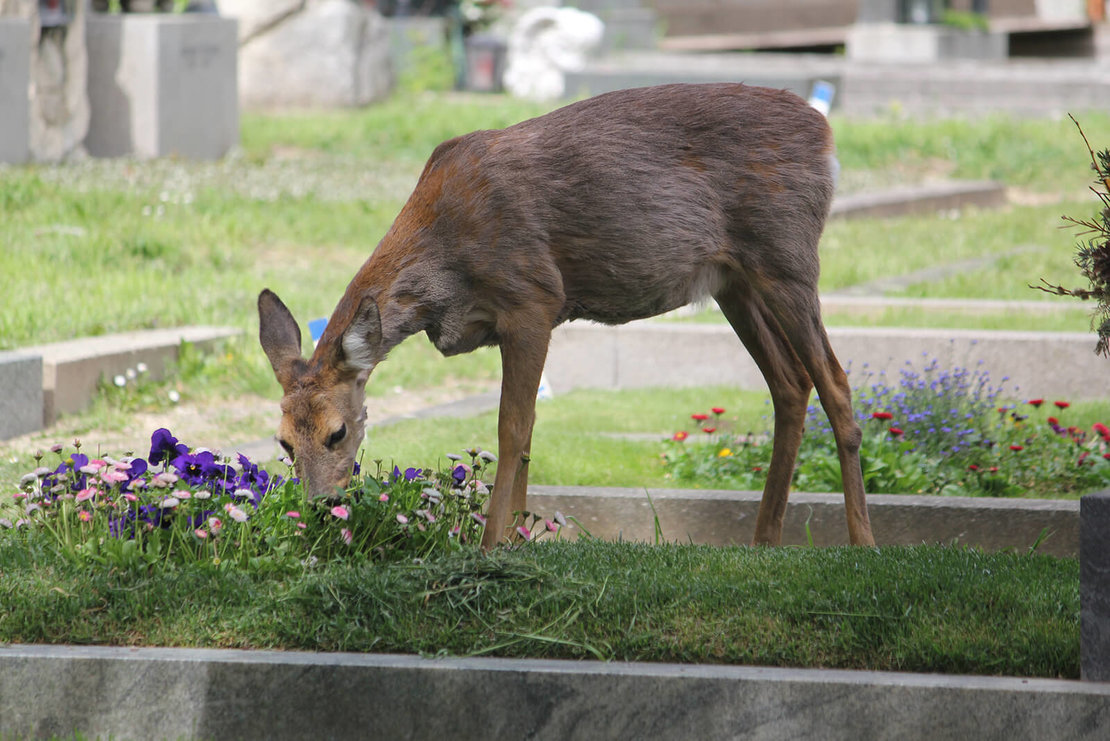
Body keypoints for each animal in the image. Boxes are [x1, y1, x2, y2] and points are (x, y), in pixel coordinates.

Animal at [257, 83, 874, 552]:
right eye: (283, 442)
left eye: (338, 432)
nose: (322, 507)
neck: (442, 263)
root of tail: (825, 132)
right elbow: (528, 431)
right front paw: (518, 540)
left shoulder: (533, 298)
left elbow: (511, 430)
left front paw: (491, 545)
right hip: (734, 282)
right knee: (790, 384)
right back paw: (764, 541)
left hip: (787, 256)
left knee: (836, 381)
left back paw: (861, 543)